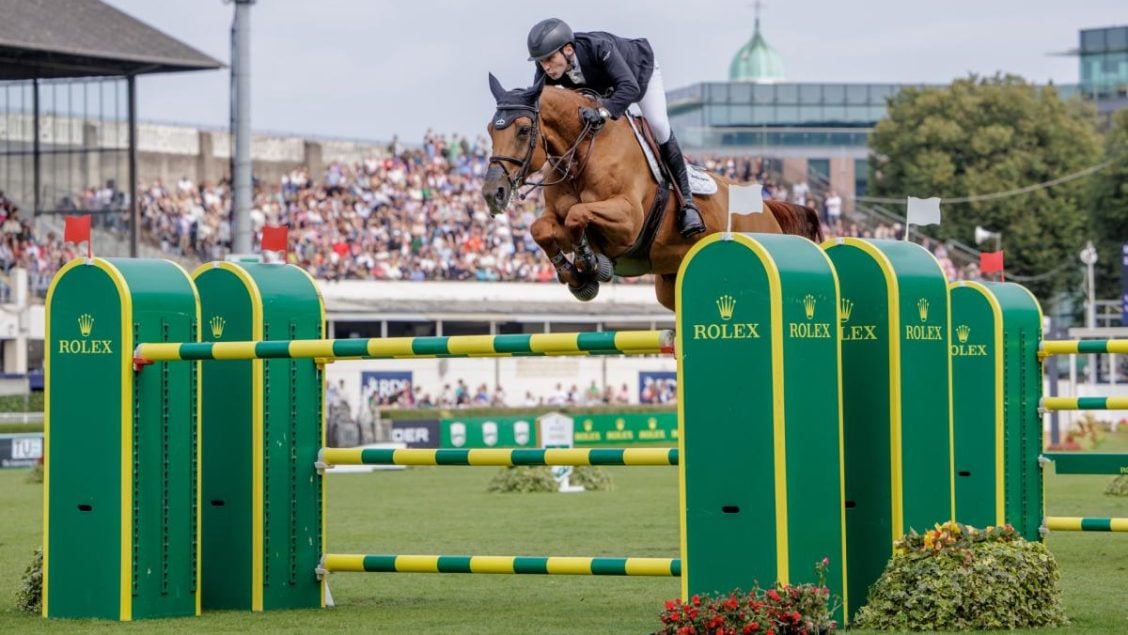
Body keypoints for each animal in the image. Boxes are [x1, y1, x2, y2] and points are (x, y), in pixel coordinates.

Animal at [482, 74, 822, 311]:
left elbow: (578, 215)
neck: (583, 152)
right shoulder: (557, 219)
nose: (491, 193)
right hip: (670, 284)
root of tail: (767, 208)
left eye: (523, 129)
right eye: (490, 130)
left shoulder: (628, 222)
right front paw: (574, 275)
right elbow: (541, 228)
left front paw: (591, 263)